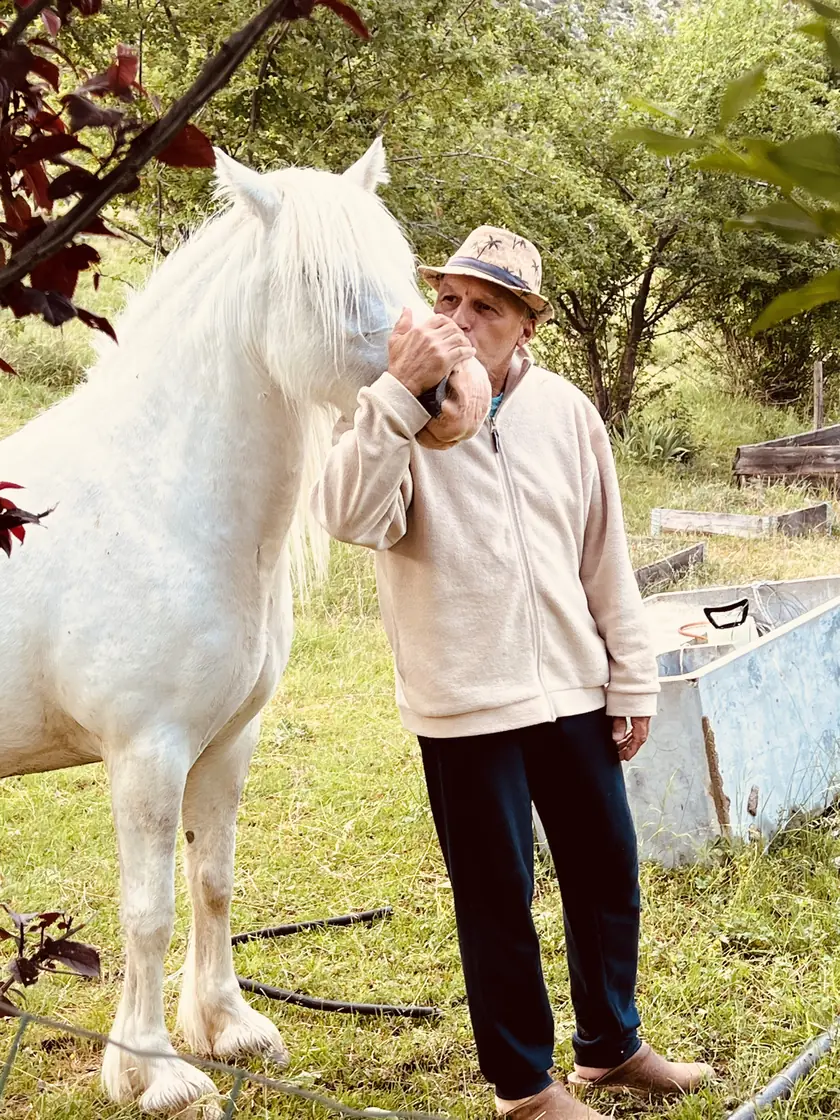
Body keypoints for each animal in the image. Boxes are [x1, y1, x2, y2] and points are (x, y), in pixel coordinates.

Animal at [0, 138, 480, 1117]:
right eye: (323, 286)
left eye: (405, 270)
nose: (450, 396)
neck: (155, 502)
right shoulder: (147, 755)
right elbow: (148, 911)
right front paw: (153, 1072)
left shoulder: (224, 743)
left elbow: (212, 881)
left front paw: (226, 1030)